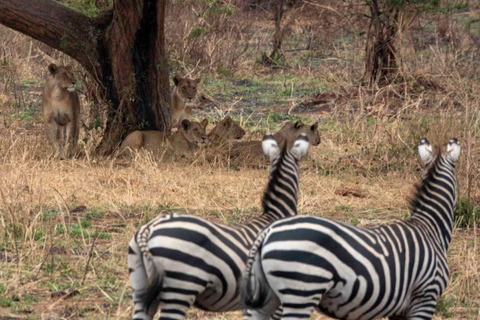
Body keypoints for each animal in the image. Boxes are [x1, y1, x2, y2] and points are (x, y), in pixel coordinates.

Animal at [244, 138, 462, 320]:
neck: (430, 226)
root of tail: (267, 233)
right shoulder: (425, 296)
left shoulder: (400, 309)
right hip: (301, 292)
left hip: (266, 298)